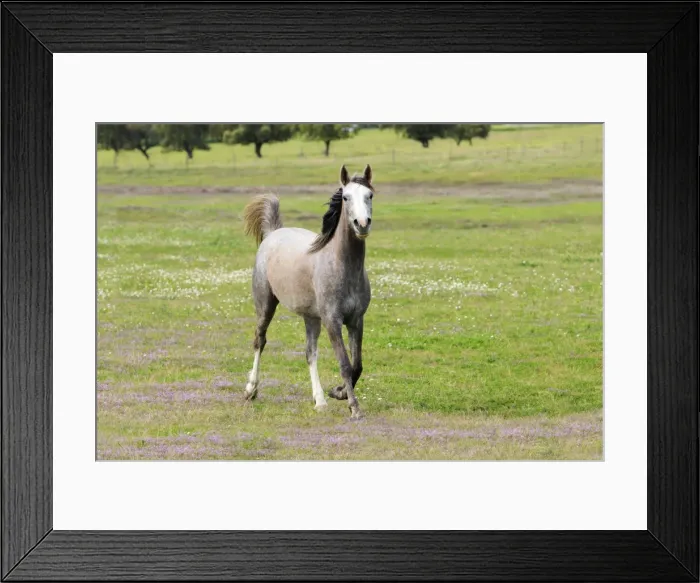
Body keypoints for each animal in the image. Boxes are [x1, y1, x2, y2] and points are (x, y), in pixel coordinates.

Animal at [241, 164, 374, 419]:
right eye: (346, 197)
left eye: (370, 195)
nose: (362, 224)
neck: (343, 267)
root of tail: (273, 233)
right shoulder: (332, 321)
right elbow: (344, 363)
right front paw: (353, 406)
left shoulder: (356, 320)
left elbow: (358, 364)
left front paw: (338, 392)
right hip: (266, 305)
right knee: (259, 340)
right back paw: (250, 389)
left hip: (311, 317)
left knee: (310, 353)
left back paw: (319, 400)